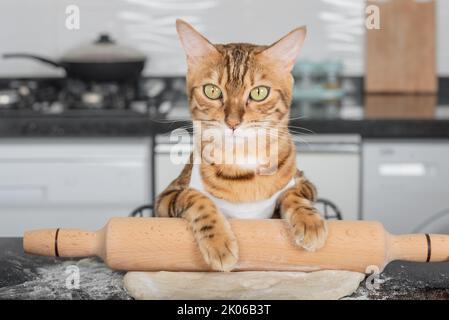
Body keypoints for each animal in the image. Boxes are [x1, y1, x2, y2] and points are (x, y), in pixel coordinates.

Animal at [156, 19, 328, 270]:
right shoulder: (165, 198)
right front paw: (218, 242)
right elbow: (195, 197)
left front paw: (310, 221)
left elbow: (294, 193)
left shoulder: (304, 182)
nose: (233, 122)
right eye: (212, 90)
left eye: (259, 92)